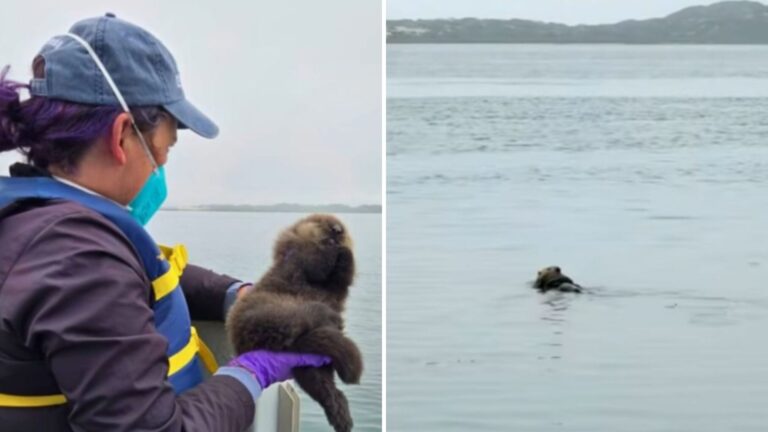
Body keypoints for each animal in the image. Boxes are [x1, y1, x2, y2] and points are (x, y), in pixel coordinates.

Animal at [226, 214, 363, 432]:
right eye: (321, 222)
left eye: (342, 226)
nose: (336, 230)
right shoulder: (297, 255)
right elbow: (316, 263)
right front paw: (333, 247)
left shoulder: (335, 286)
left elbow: (343, 277)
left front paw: (344, 250)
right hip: (268, 311)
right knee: (298, 318)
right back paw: (327, 315)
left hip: (311, 364)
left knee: (320, 383)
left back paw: (341, 413)